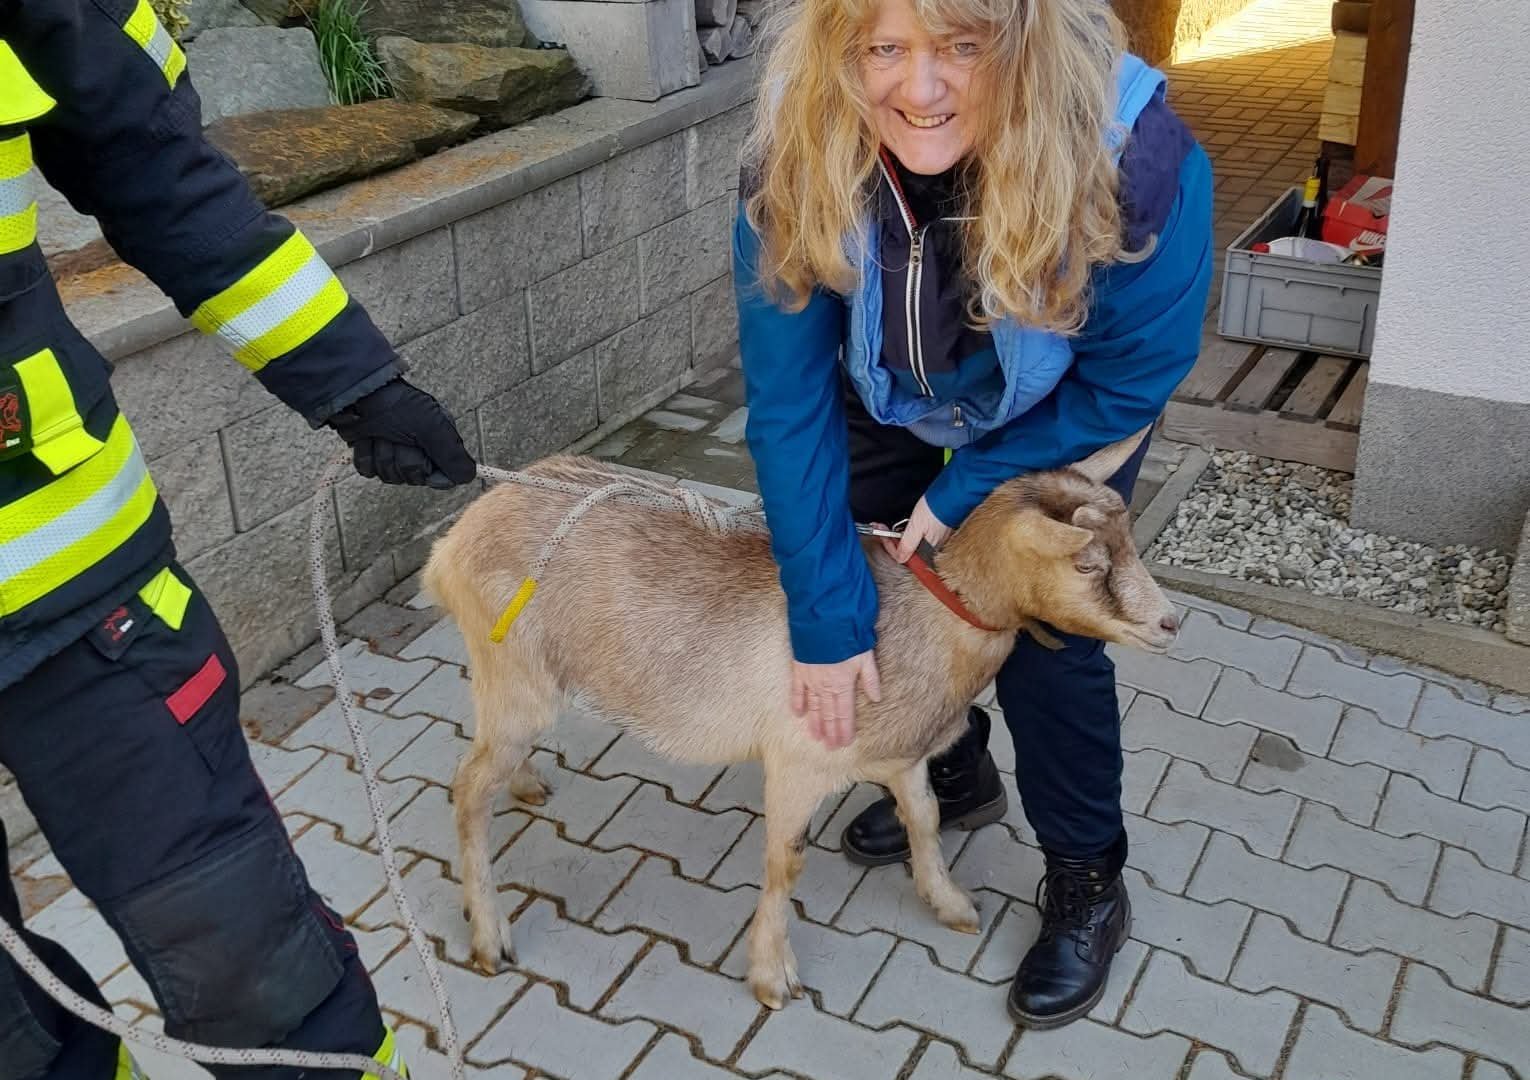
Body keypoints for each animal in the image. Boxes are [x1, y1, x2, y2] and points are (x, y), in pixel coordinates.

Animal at [422, 429, 1179, 1009]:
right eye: (1087, 563)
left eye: (1127, 542)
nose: (1171, 623)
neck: (917, 618)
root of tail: (454, 542)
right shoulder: (797, 761)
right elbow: (786, 863)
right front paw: (771, 976)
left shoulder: (902, 756)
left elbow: (926, 817)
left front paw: (950, 904)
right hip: (516, 677)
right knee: (466, 789)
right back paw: (488, 933)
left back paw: (525, 782)